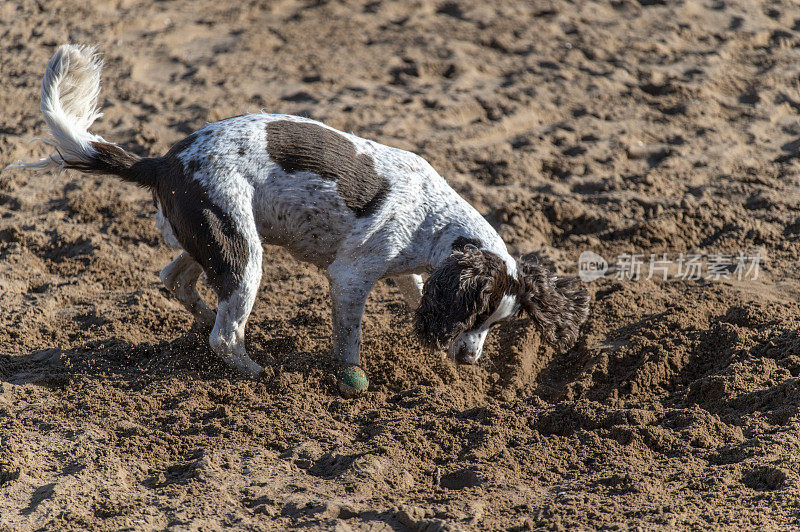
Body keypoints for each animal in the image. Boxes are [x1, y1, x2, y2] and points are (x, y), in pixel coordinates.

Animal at [9, 45, 592, 392]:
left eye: (496, 325)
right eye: (477, 318)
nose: (470, 361)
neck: (434, 221)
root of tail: (163, 161)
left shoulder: (407, 268)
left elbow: (416, 291)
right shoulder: (351, 276)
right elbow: (350, 336)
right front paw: (352, 376)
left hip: (218, 240)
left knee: (176, 280)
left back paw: (204, 320)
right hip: (242, 252)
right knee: (225, 334)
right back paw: (255, 370)